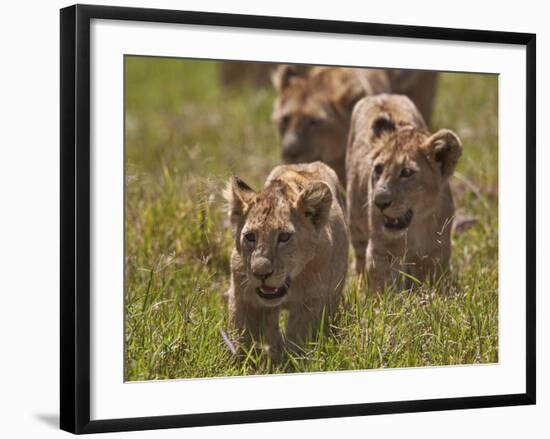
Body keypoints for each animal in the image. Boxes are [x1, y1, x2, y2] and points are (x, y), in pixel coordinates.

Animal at [225, 162, 350, 360]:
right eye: (250, 237)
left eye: (284, 237)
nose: (261, 273)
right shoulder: (243, 297)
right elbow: (241, 339)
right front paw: (241, 362)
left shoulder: (312, 303)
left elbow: (298, 342)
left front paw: (291, 361)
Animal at [350, 93, 462, 292]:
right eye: (378, 169)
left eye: (407, 172)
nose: (379, 202)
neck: (415, 226)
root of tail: (381, 95)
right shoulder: (383, 249)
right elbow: (385, 286)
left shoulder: (436, 251)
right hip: (356, 224)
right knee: (360, 260)